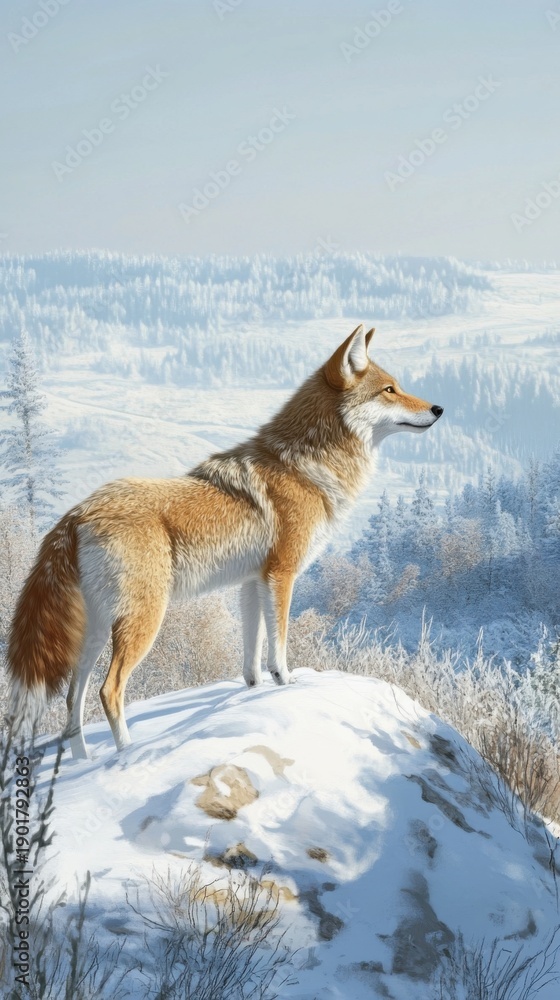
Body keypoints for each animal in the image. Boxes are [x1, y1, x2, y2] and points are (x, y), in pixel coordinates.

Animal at [7, 325, 443, 758]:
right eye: (389, 390)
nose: (439, 408)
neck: (303, 467)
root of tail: (77, 513)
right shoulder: (281, 574)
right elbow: (278, 647)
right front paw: (288, 685)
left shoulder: (252, 582)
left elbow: (251, 656)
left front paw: (251, 694)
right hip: (143, 621)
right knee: (108, 690)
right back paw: (128, 755)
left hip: (96, 630)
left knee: (71, 701)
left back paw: (83, 762)